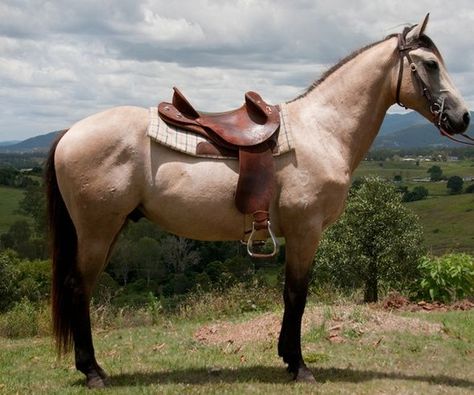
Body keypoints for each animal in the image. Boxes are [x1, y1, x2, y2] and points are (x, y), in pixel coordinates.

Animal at [45, 14, 470, 386]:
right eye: (430, 64)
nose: (463, 117)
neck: (322, 130)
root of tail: (69, 133)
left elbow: (290, 294)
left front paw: (287, 357)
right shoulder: (305, 231)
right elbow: (297, 294)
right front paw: (298, 365)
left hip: (109, 230)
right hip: (97, 231)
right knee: (78, 288)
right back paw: (93, 372)